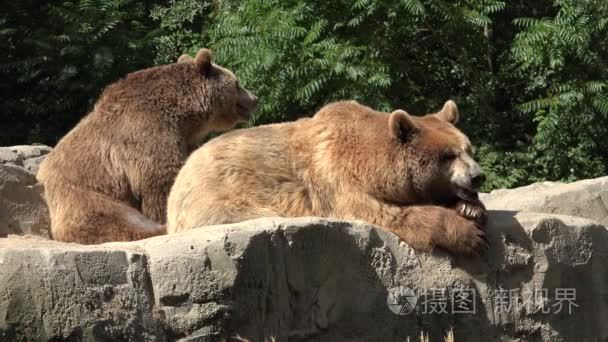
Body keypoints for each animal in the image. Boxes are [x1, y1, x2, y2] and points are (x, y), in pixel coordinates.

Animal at [166, 99, 490, 254]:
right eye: (448, 156)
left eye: (468, 149)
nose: (477, 177)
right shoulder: (336, 178)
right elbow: (383, 214)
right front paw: (470, 235)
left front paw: (471, 208)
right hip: (220, 199)